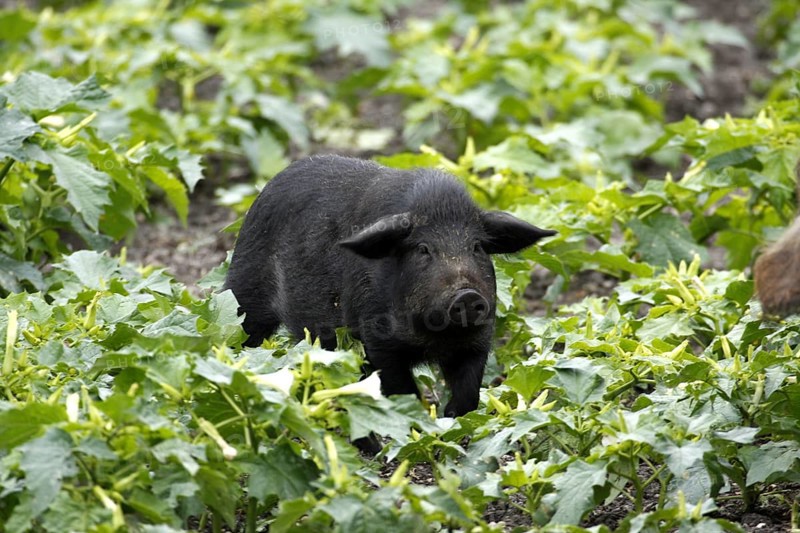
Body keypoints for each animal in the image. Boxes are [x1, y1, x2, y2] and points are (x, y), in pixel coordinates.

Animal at [224, 155, 555, 419]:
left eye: (476, 247)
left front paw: (451, 420)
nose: (466, 294)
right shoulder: (375, 338)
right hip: (244, 290)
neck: (433, 338)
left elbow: (468, 391)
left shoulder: (478, 340)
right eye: (423, 249)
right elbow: (400, 388)